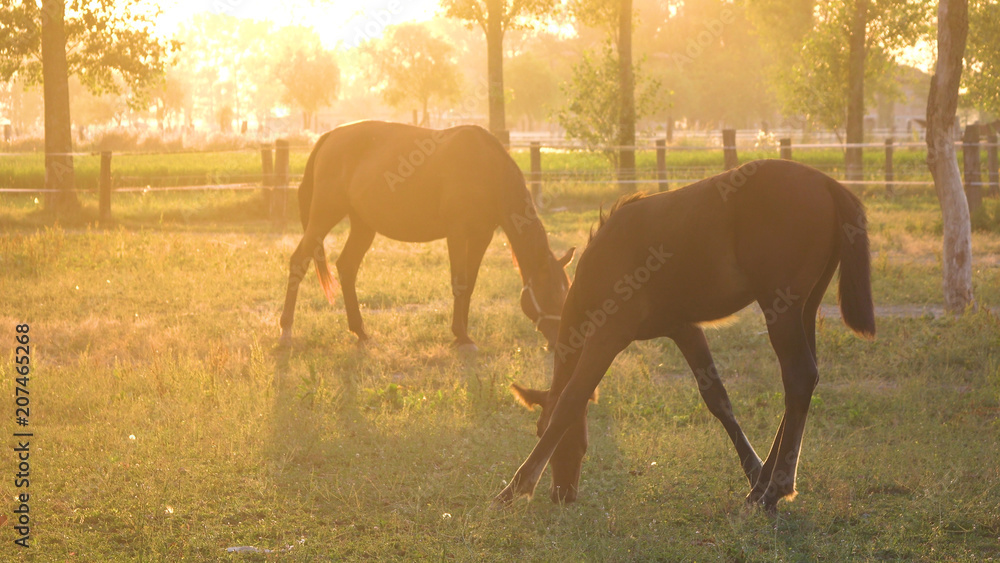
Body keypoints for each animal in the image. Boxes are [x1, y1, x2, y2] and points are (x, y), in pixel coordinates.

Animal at [278, 121, 576, 350]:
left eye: (565, 293)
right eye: (550, 294)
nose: (558, 343)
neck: (484, 166)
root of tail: (330, 136)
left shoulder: (482, 236)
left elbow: (470, 284)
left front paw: (463, 334)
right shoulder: (457, 232)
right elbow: (459, 282)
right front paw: (461, 335)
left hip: (363, 225)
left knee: (347, 267)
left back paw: (360, 331)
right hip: (323, 216)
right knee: (299, 261)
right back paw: (286, 329)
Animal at [496, 160, 872, 516]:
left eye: (541, 430)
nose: (562, 493)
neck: (605, 260)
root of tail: (828, 183)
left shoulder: (609, 332)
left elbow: (571, 398)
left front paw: (514, 489)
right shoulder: (684, 329)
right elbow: (717, 399)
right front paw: (753, 473)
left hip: (780, 306)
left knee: (799, 376)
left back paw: (774, 491)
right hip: (805, 307)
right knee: (804, 380)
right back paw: (765, 485)